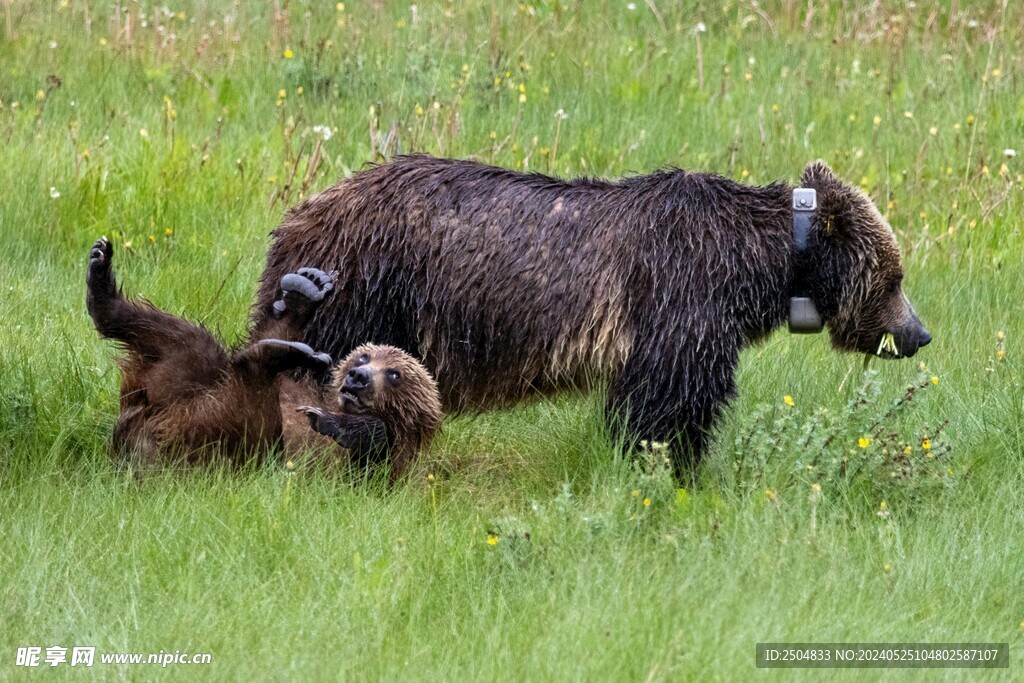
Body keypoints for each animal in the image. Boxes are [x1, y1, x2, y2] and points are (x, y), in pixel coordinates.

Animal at [86, 237, 441, 481]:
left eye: (394, 374)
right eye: (364, 356)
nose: (358, 376)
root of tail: (139, 443)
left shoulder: (373, 462)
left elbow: (370, 447)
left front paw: (331, 422)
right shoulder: (302, 389)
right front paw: (304, 290)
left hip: (220, 449)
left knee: (249, 396)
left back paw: (284, 354)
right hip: (171, 388)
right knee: (191, 343)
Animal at [251, 156, 931, 479]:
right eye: (896, 277)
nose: (919, 333)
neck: (757, 262)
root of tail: (305, 209)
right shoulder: (680, 294)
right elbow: (667, 401)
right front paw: (667, 465)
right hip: (373, 279)